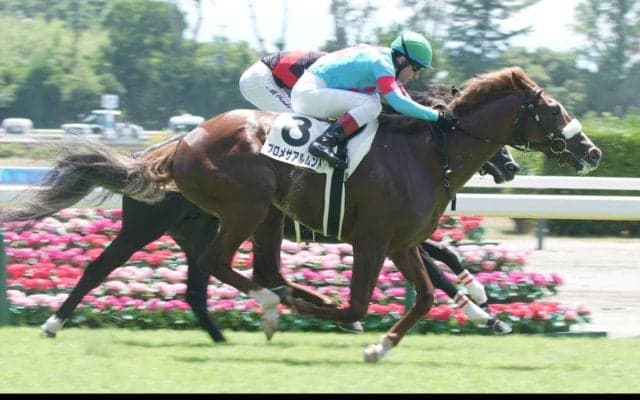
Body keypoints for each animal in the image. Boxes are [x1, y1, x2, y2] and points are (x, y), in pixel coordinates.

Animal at [1, 66, 601, 362]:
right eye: (552, 110)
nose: (592, 151)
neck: (426, 151)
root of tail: (172, 148)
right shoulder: (374, 239)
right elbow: (376, 296)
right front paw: (478, 307)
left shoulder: (401, 239)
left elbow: (432, 282)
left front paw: (475, 307)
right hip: (217, 213)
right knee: (116, 267)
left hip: (234, 220)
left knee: (211, 279)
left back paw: (237, 324)